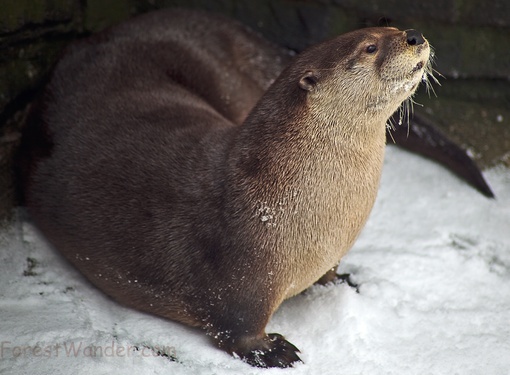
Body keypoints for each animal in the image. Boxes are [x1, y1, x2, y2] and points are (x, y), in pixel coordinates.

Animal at [18, 8, 430, 370]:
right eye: (370, 47)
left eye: (390, 28)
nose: (414, 35)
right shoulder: (243, 277)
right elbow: (235, 329)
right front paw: (271, 350)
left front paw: (341, 280)